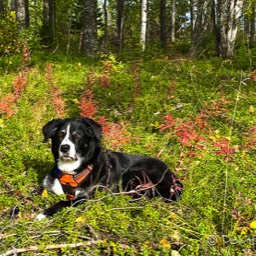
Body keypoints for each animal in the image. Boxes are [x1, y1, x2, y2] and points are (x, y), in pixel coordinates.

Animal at [36, 118, 183, 220]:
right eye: (60, 135)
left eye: (77, 135)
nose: (64, 147)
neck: (70, 172)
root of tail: (173, 176)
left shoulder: (87, 197)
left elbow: (63, 202)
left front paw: (44, 213)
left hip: (134, 173)